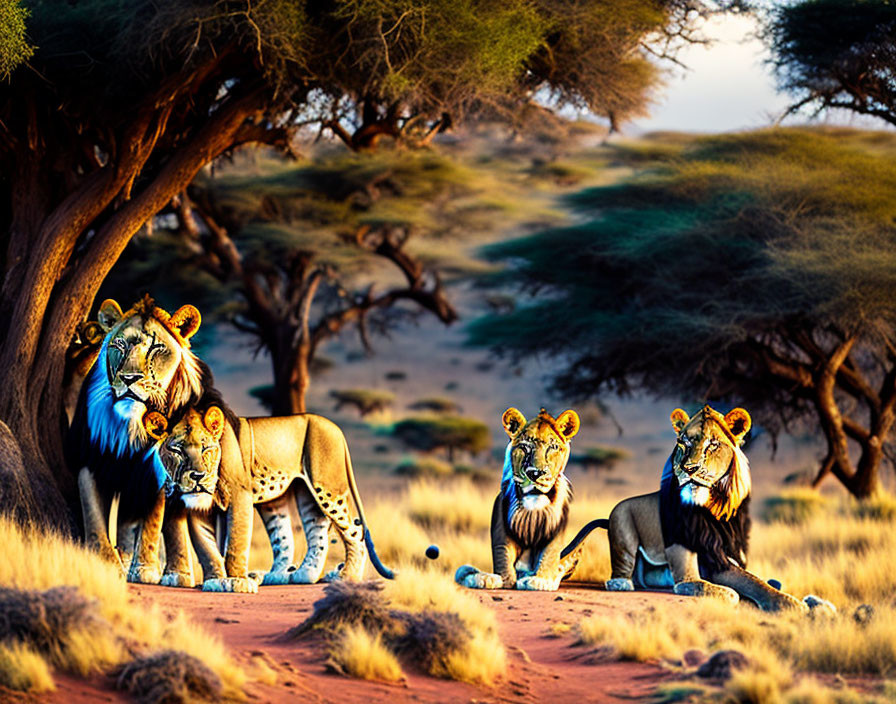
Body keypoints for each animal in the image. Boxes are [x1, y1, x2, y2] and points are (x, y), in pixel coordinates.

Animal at [65, 294, 256, 592]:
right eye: (119, 345)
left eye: (156, 347)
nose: (130, 379)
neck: (130, 429)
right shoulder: (90, 458)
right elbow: (94, 516)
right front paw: (105, 564)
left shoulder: (156, 473)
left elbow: (153, 522)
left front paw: (144, 569)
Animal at [144, 402, 396, 588]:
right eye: (177, 450)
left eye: (206, 448)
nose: (197, 476)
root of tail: (335, 427)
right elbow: (209, 543)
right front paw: (218, 578)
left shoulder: (239, 494)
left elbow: (234, 540)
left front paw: (234, 580)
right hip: (297, 496)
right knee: (307, 532)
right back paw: (294, 576)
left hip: (326, 488)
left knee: (354, 531)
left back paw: (347, 577)